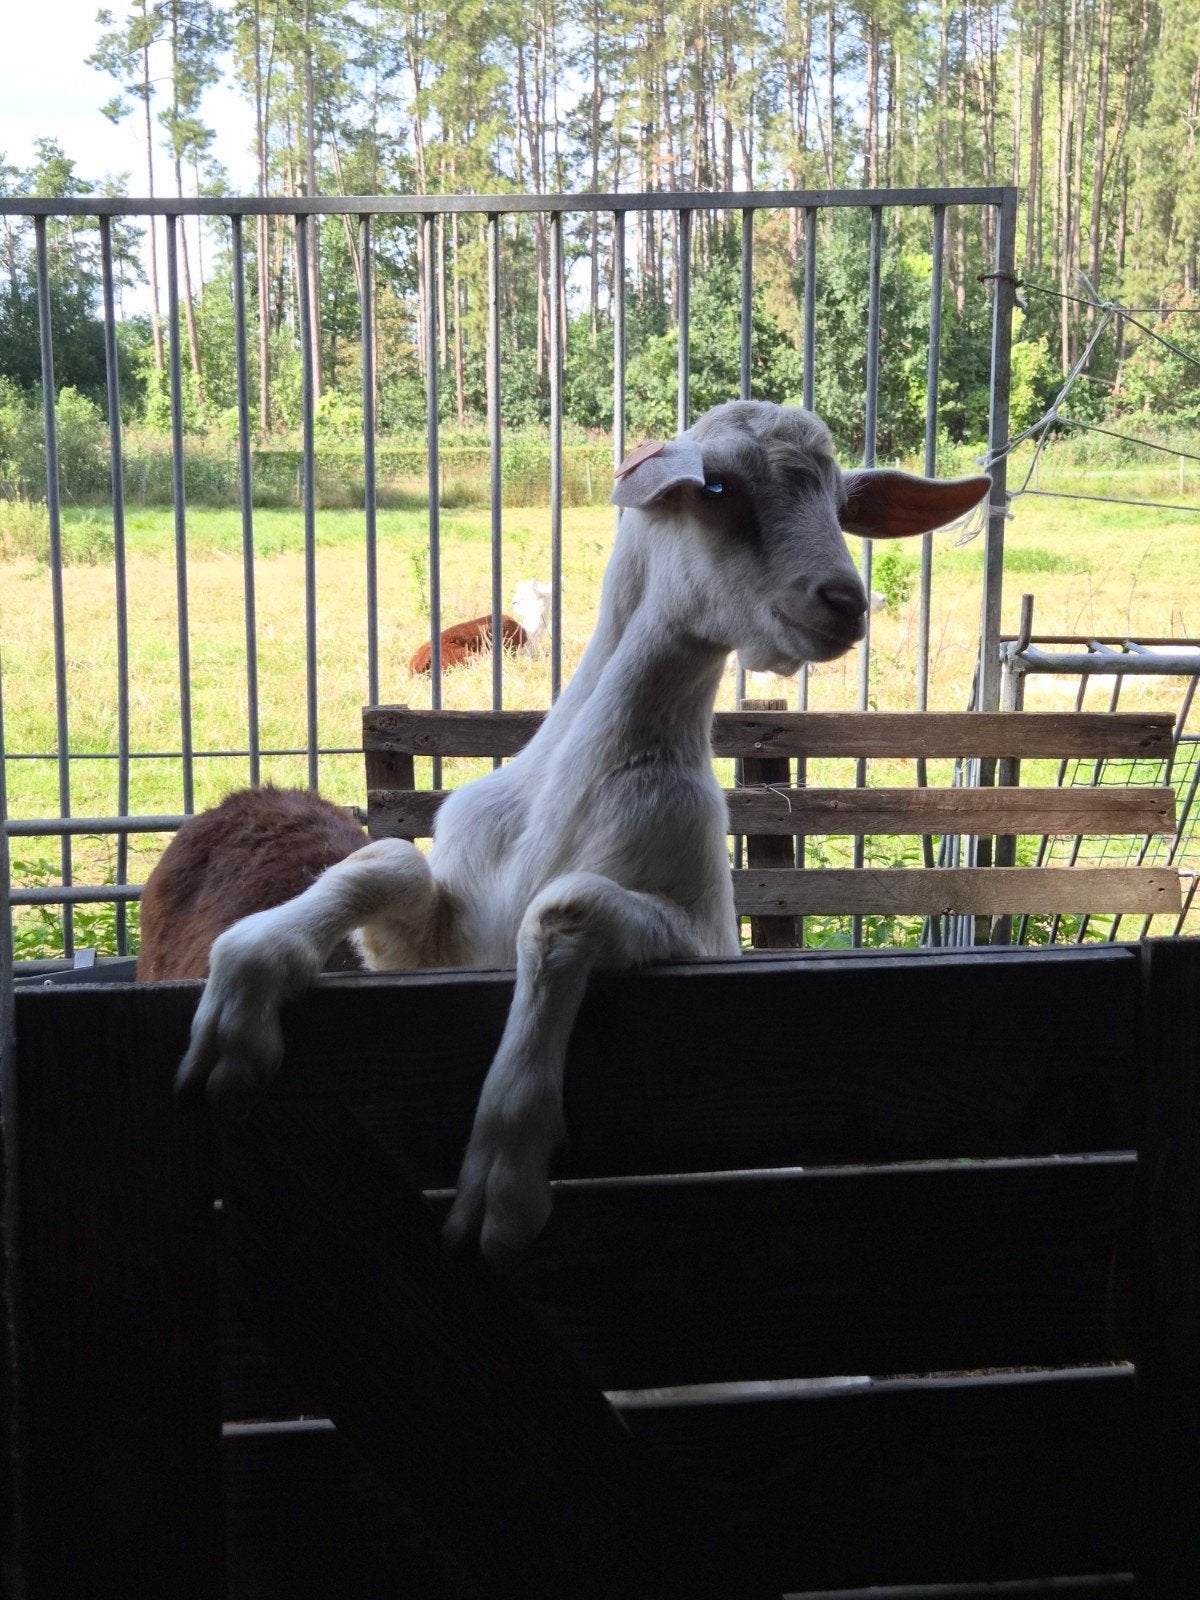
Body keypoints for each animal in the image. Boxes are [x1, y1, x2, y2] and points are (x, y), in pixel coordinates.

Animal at [176, 401, 990, 1263]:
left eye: (840, 505)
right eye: (719, 486)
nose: (844, 601)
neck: (562, 796)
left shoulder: (700, 937)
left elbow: (563, 907)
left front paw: (502, 1178)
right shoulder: (433, 950)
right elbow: (390, 858)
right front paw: (242, 991)